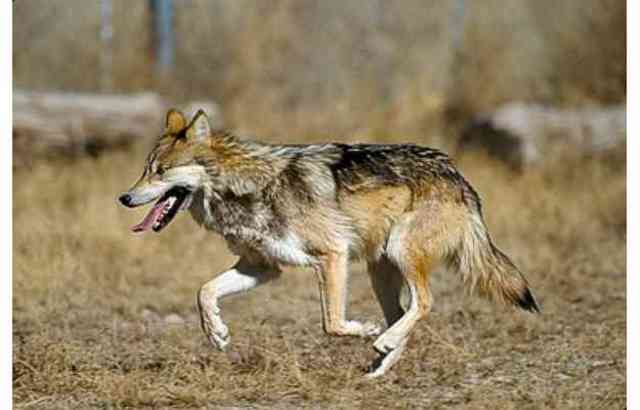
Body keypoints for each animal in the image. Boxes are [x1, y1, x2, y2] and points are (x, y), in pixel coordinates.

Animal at [118, 109, 539, 377]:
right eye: (145, 170)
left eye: (161, 171)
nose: (124, 197)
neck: (247, 187)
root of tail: (458, 176)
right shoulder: (262, 267)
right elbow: (204, 292)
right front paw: (217, 333)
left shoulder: (331, 255)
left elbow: (332, 324)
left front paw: (364, 330)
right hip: (380, 270)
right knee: (404, 312)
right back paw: (379, 365)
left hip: (399, 253)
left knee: (424, 303)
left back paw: (381, 341)